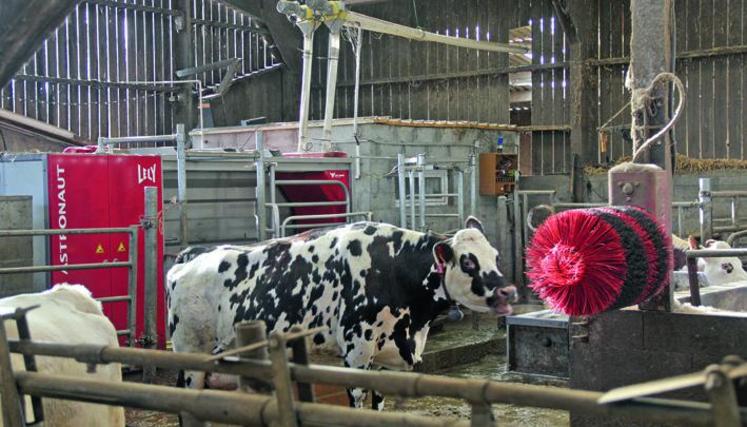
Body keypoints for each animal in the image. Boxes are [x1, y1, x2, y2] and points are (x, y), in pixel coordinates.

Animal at [167, 219, 516, 410]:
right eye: (468, 261)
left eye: (496, 255)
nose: (508, 291)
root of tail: (191, 255)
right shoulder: (356, 352)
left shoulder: (382, 358)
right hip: (191, 354)